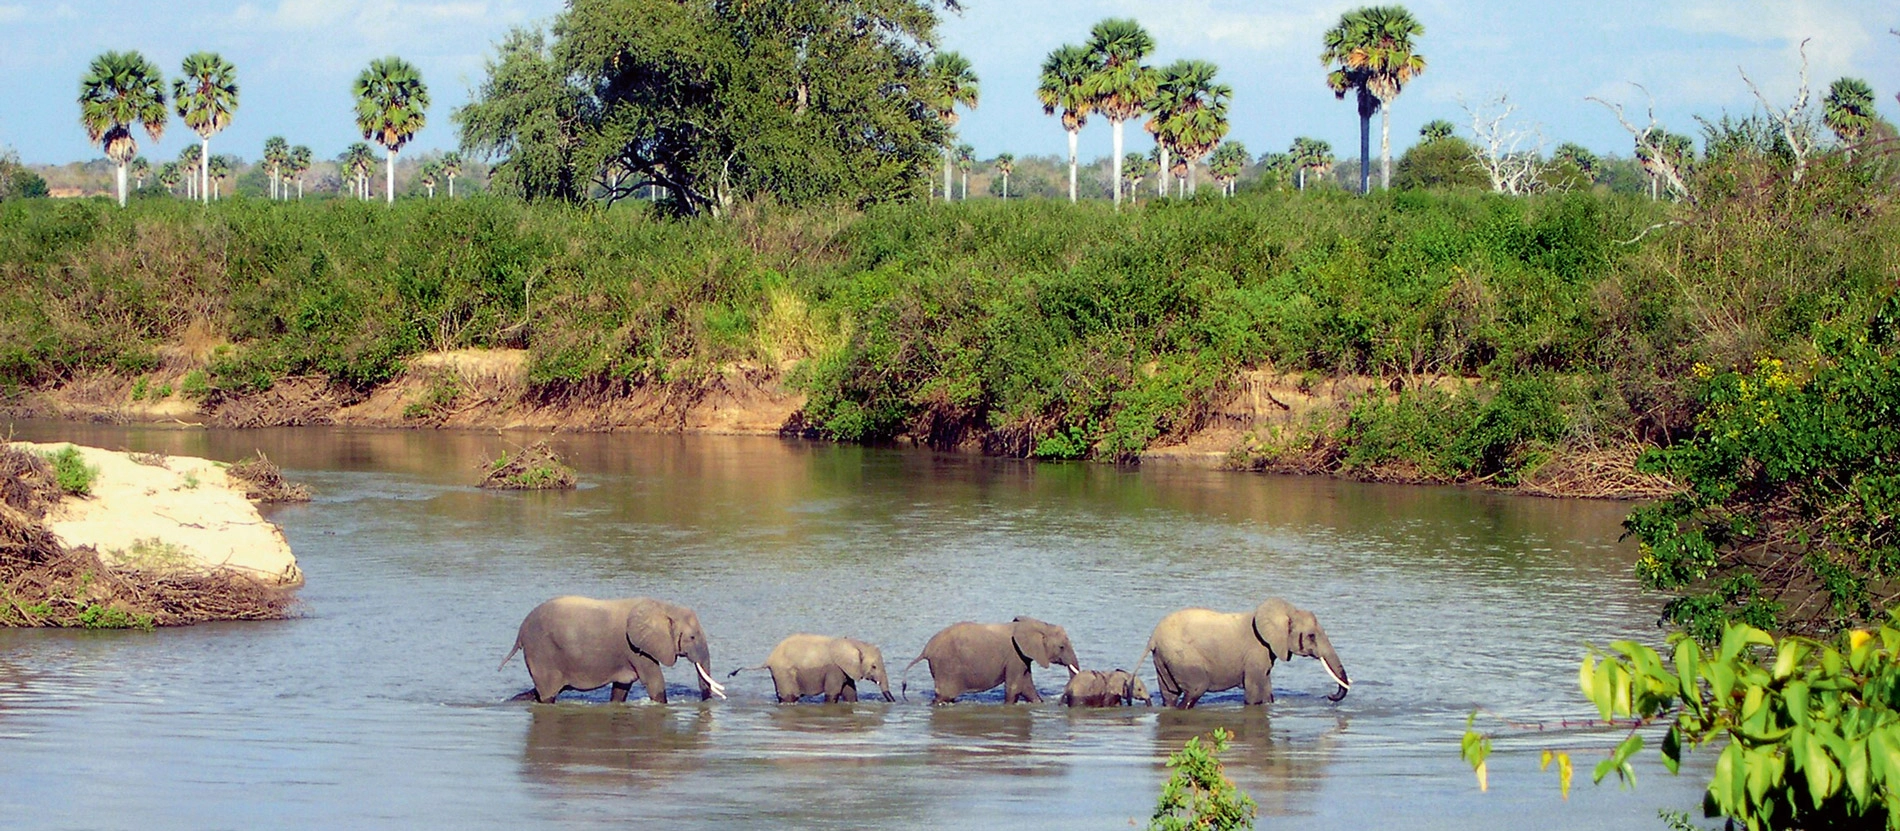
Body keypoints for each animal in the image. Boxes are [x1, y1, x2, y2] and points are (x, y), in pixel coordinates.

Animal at [505, 593, 725, 703]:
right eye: (692, 637)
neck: (664, 607)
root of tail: (520, 634)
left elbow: (621, 688)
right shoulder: (636, 648)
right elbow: (654, 682)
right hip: (541, 652)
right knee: (548, 695)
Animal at [729, 635, 900, 699]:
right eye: (874, 667)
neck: (854, 642)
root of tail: (769, 659)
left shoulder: (846, 671)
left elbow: (850, 693)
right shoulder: (834, 669)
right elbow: (833, 693)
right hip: (784, 672)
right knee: (790, 696)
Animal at [896, 612, 1079, 703]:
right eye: (1061, 647)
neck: (1036, 624)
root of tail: (926, 650)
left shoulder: (1022, 657)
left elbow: (1027, 687)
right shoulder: (1014, 655)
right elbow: (1014, 688)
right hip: (946, 667)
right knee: (944, 696)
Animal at [1124, 597, 1352, 707]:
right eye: (1312, 636)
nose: (1328, 696)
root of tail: (1153, 637)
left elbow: (1266, 689)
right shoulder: (1256, 652)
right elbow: (1253, 692)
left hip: (1163, 659)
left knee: (1169, 695)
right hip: (1181, 656)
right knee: (1195, 689)